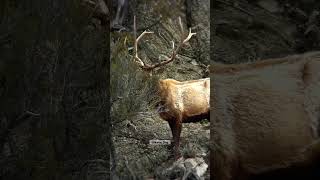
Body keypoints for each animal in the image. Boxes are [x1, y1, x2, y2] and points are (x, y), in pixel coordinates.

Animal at [132, 16, 210, 158]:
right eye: (140, 75)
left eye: (151, 75)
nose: (139, 87)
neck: (161, 100)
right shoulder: (169, 119)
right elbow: (173, 139)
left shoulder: (179, 116)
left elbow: (177, 142)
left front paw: (176, 156)